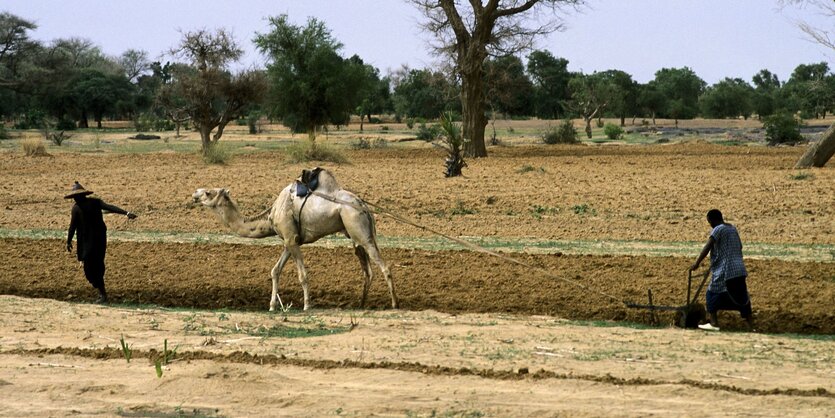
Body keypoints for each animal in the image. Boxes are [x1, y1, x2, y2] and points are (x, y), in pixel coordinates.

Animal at [192, 169, 398, 310]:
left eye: (208, 193)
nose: (195, 193)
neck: (271, 215)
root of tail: (364, 206)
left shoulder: (291, 239)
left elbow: (302, 275)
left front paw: (307, 305)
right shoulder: (290, 240)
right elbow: (275, 271)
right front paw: (272, 306)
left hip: (358, 228)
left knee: (384, 266)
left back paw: (395, 304)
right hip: (356, 233)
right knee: (367, 270)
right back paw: (361, 304)